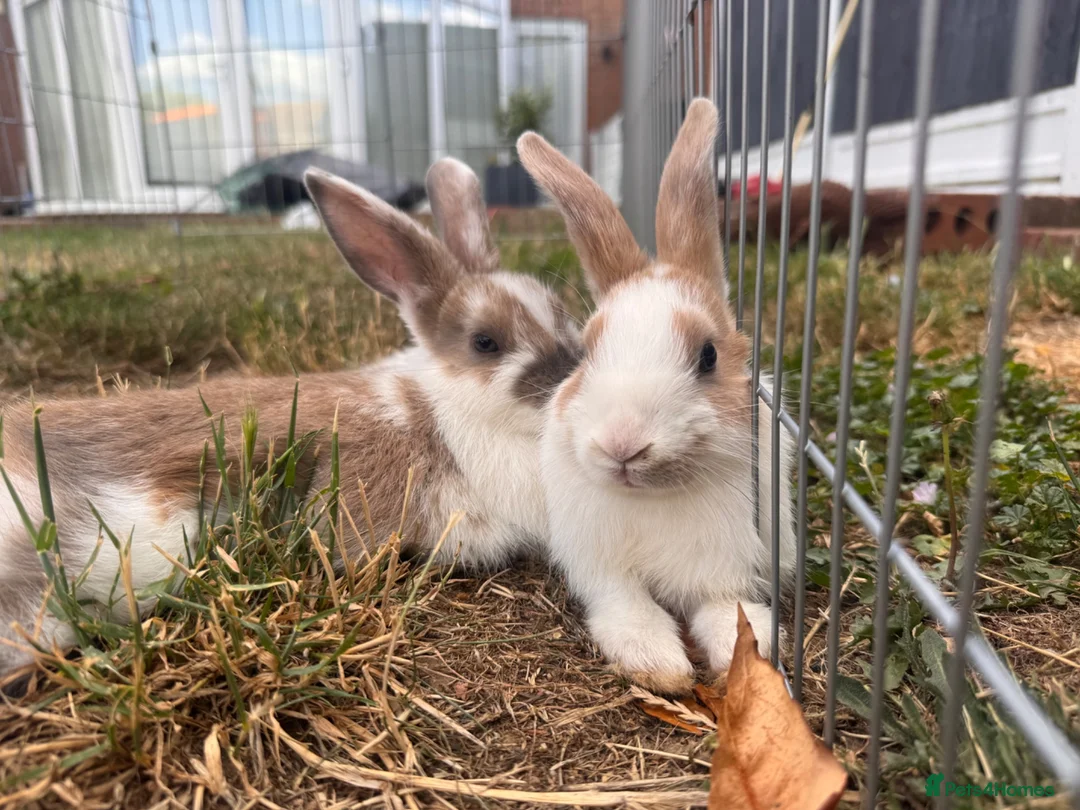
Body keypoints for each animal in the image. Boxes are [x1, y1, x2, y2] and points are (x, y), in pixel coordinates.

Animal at [517, 98, 796, 695]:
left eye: (708, 356)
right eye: (586, 350)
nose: (622, 445)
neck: (654, 497)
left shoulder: (725, 569)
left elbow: (729, 613)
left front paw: (752, 653)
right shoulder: (603, 569)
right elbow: (628, 607)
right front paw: (657, 663)